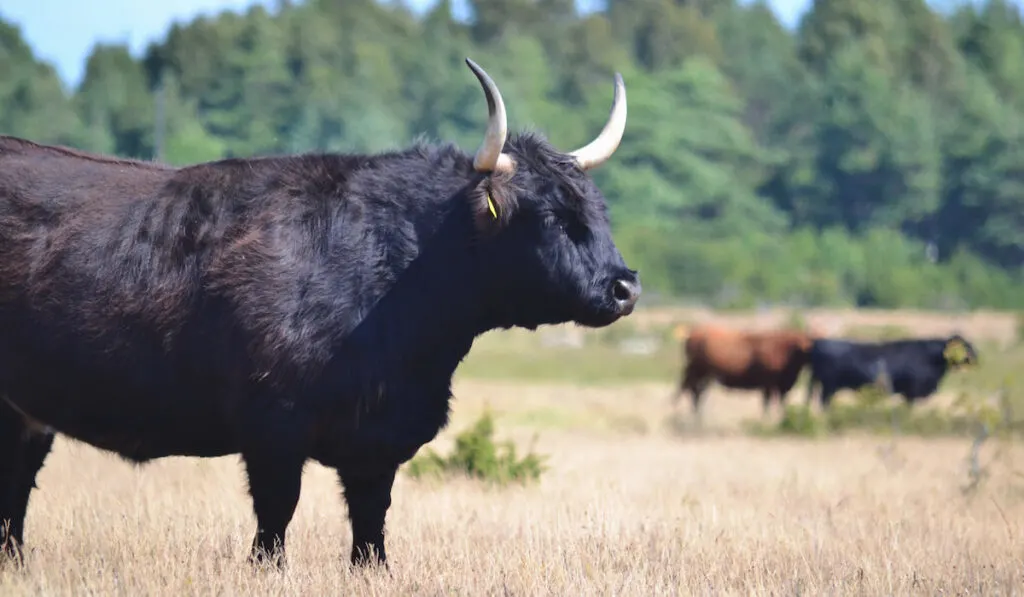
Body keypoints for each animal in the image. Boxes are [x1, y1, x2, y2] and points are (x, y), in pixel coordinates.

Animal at [0, 59, 638, 569]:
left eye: (600, 211)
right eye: (551, 217)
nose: (625, 286)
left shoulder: (378, 441)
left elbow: (370, 526)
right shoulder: (273, 425)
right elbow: (275, 519)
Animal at [671, 327, 815, 419]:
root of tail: (693, 334)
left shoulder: (781, 387)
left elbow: (779, 402)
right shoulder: (768, 385)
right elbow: (767, 403)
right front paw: (767, 418)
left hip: (703, 376)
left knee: (695, 393)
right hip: (696, 373)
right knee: (690, 391)